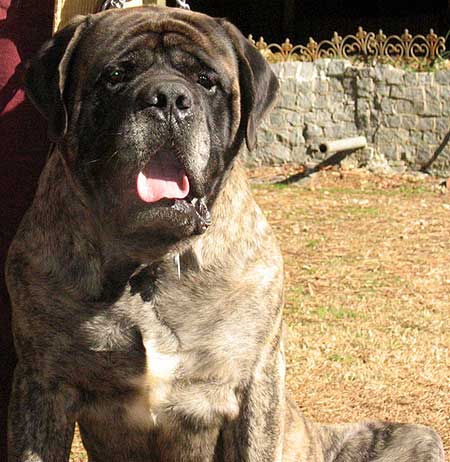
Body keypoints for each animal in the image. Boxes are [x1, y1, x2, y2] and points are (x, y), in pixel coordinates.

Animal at [5, 4, 444, 462]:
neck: (151, 265)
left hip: (416, 436)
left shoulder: (254, 383)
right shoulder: (42, 382)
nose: (168, 98)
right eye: (115, 75)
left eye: (206, 80)